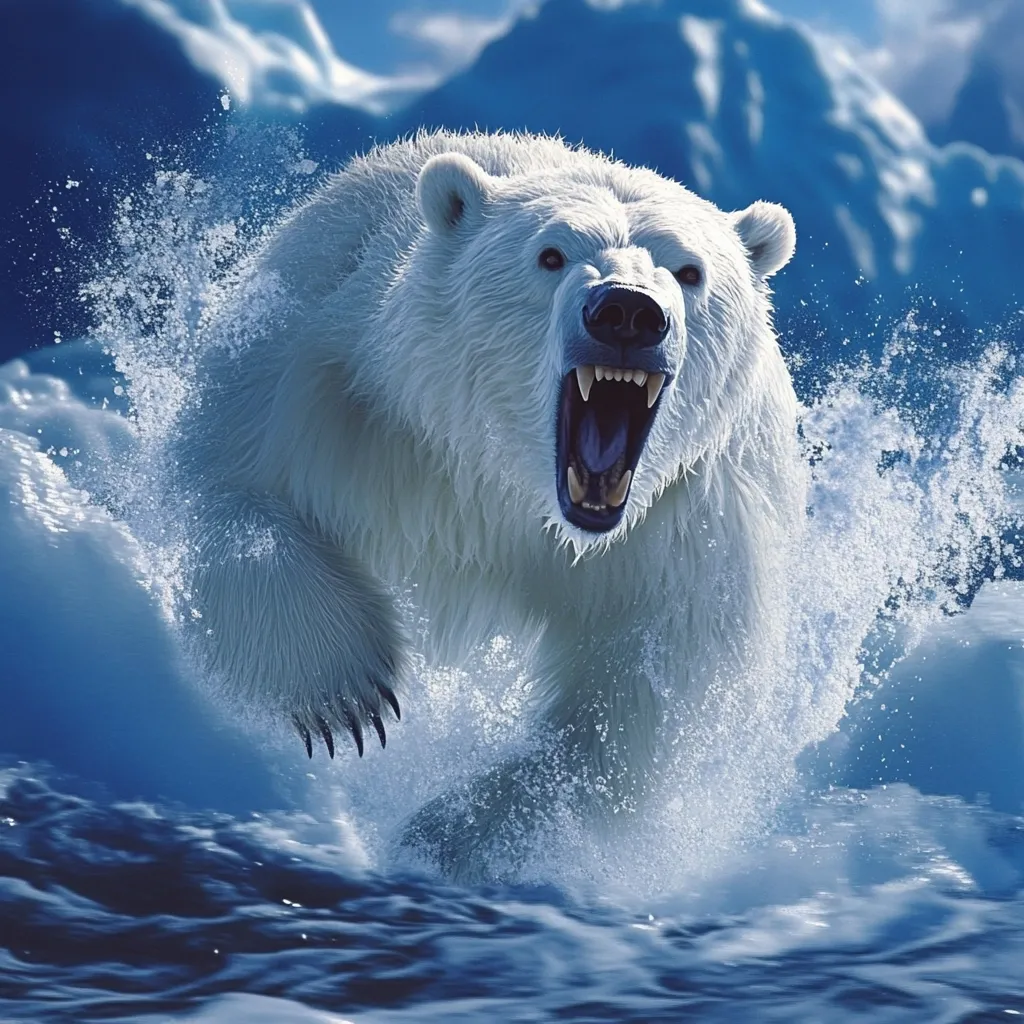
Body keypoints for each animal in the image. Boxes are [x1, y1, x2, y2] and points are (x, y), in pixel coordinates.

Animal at [174, 130, 801, 880]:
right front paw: (346, 691)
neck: (510, 482)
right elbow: (233, 488)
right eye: (551, 254)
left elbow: (647, 696)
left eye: (689, 270)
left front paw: (449, 837)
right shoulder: (335, 380)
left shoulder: (690, 521)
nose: (627, 312)